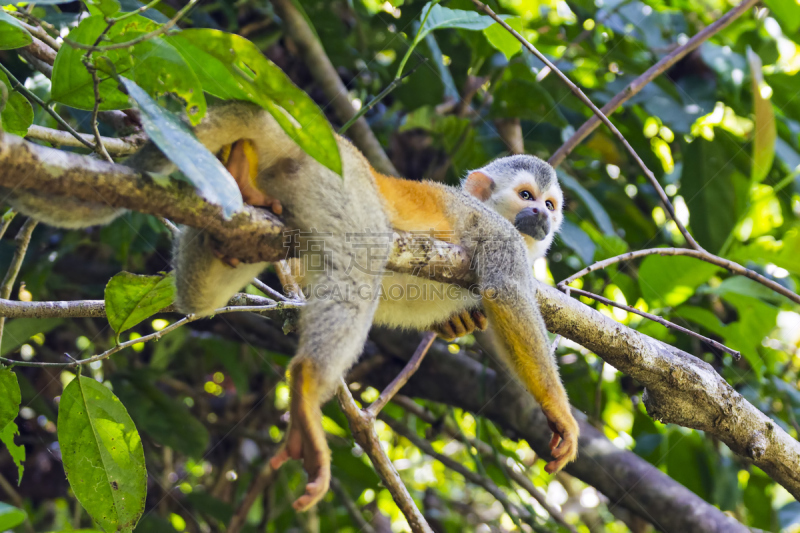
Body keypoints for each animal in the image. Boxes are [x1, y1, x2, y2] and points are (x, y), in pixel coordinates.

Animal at [0, 101, 580, 512]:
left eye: (551, 205)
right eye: (526, 197)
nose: (543, 219)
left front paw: (461, 320)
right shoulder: (493, 229)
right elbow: (505, 290)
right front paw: (559, 413)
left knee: (203, 295)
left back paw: (240, 182)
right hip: (340, 182)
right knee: (362, 259)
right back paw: (304, 384)